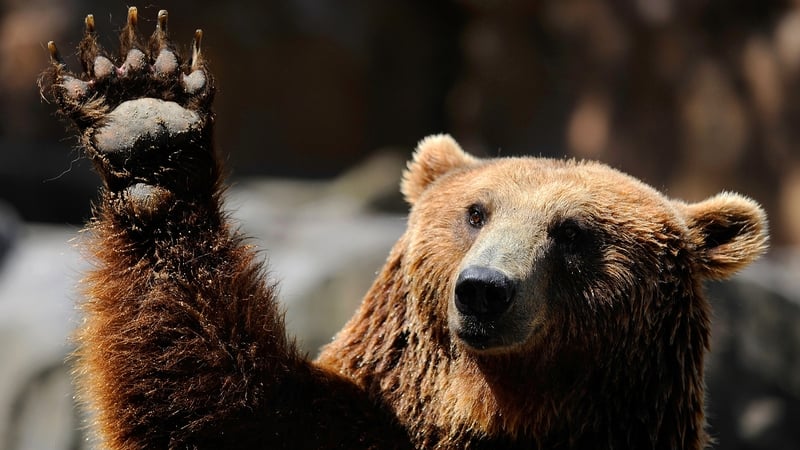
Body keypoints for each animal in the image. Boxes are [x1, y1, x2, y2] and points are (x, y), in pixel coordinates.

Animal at [40, 7, 769, 450]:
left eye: (572, 232)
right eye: (476, 212)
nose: (484, 290)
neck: (493, 407)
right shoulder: (346, 419)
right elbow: (202, 397)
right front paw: (147, 112)